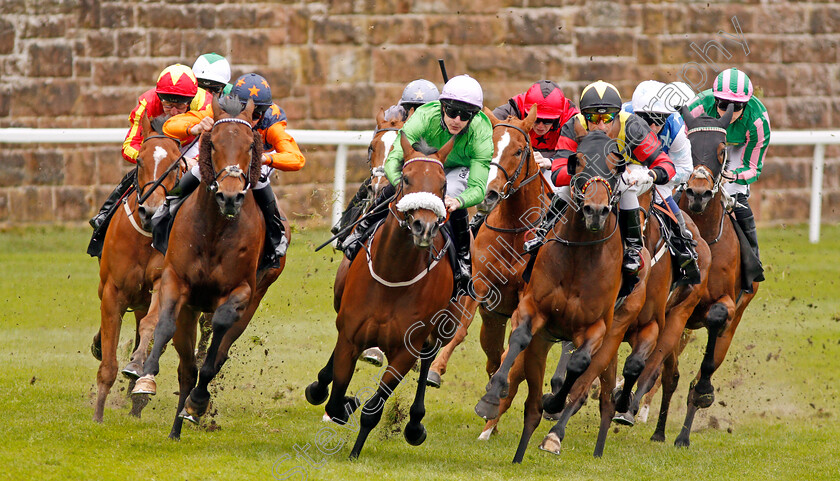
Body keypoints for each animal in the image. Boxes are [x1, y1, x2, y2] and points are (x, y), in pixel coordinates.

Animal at [92, 114, 183, 422]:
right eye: (140, 160)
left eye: (176, 164)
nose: (151, 211)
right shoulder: (112, 291)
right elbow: (108, 362)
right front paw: (98, 416)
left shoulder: (162, 282)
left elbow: (149, 327)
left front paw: (137, 369)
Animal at [130, 94, 288, 438]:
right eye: (212, 142)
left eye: (251, 145)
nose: (230, 196)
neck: (215, 229)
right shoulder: (175, 280)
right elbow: (164, 325)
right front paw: (145, 379)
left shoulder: (242, 290)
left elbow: (217, 341)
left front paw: (199, 401)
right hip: (189, 309)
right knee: (186, 368)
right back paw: (175, 428)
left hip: (254, 298)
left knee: (215, 354)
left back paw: (193, 407)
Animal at [306, 131, 456, 458]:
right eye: (407, 179)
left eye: (443, 185)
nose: (424, 227)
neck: (393, 274)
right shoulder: (350, 334)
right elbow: (336, 399)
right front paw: (343, 400)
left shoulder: (405, 350)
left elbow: (374, 408)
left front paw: (354, 451)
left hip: (445, 325)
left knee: (429, 358)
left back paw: (415, 425)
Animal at [648, 105, 756, 446]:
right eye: (690, 146)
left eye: (722, 151)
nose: (698, 192)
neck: (706, 236)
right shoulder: (676, 308)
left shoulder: (728, 304)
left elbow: (716, 319)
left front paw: (705, 391)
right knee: (670, 376)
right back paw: (659, 431)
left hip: (736, 319)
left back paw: (683, 434)